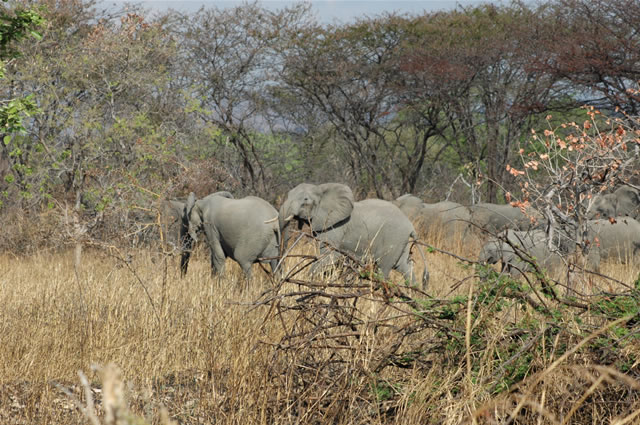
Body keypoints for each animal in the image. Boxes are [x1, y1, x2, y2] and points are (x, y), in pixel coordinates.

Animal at [278, 183, 428, 288]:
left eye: (305, 199)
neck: (322, 189)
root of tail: (410, 226)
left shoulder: (335, 227)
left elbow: (331, 255)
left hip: (393, 237)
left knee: (384, 268)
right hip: (401, 240)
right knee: (404, 266)